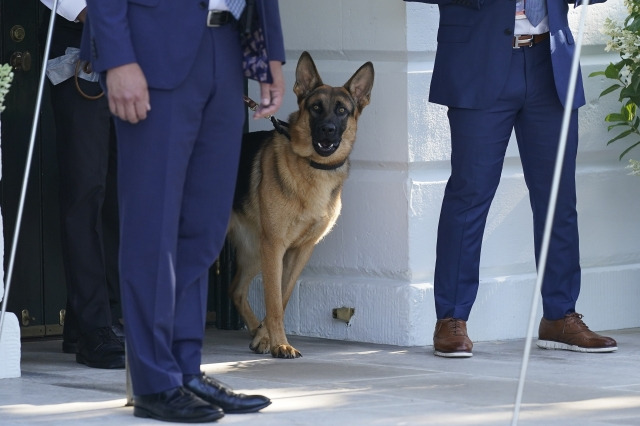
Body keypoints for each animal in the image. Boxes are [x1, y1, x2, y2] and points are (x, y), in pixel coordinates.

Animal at [228, 51, 376, 358]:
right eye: (316, 108)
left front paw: (266, 338)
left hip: (254, 250)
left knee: (235, 290)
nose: (328, 130)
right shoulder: (275, 246)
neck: (313, 167)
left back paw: (254, 332)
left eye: (342, 110)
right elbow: (273, 300)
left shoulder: (301, 250)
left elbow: (283, 296)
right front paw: (279, 342)